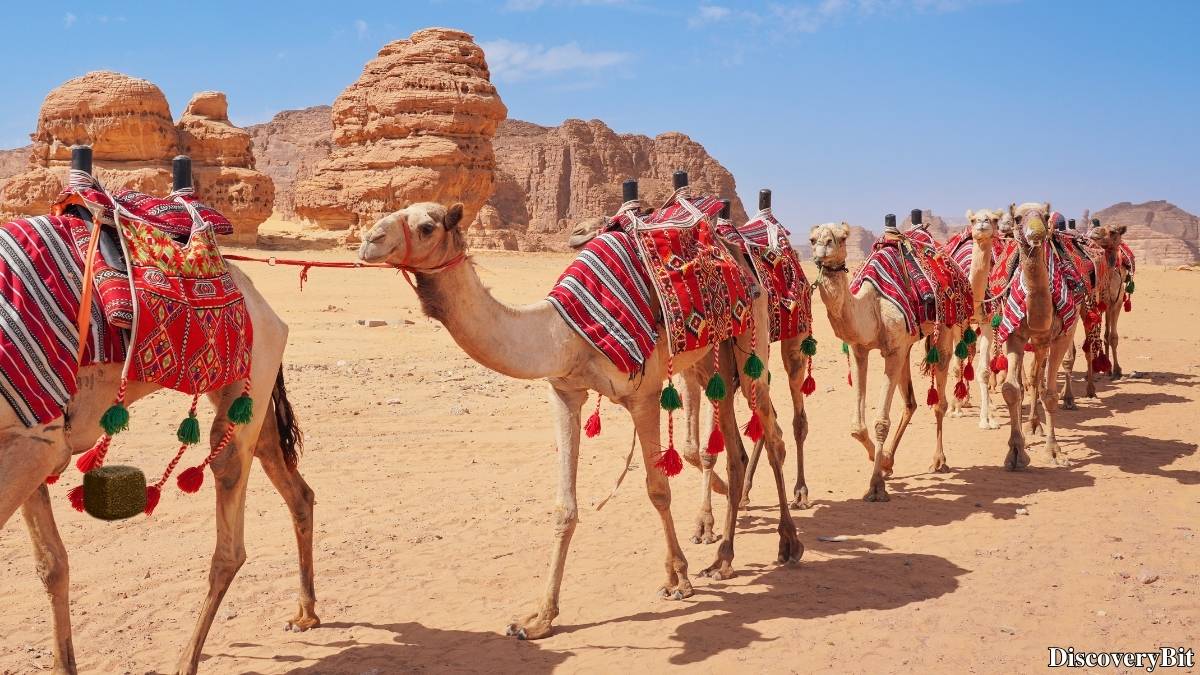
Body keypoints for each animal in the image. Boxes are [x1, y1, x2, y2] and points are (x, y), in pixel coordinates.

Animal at [0, 260, 316, 674]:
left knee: (230, 534)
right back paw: (306, 614)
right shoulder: (30, 442)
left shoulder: (36, 441)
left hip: (253, 367)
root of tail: (262, 301)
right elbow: (51, 565)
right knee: (293, 485)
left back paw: (186, 661)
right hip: (249, 393)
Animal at [358, 200, 805, 640]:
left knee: (773, 432)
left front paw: (678, 579)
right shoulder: (564, 393)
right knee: (734, 448)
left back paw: (788, 542)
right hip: (714, 358)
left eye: (427, 227)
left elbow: (657, 490)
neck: (566, 334)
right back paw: (723, 557)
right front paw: (538, 618)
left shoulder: (643, 396)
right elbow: (565, 508)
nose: (369, 240)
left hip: (752, 337)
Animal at [808, 222, 962, 502]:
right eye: (813, 239)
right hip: (907, 344)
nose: (824, 247)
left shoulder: (892, 351)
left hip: (944, 325)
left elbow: (881, 422)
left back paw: (939, 460)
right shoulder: (860, 349)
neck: (870, 305)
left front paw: (876, 486)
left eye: (841, 237)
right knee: (910, 402)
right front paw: (884, 464)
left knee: (940, 400)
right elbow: (857, 427)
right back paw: (890, 459)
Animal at [997, 202, 1075, 470]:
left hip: (1044, 341)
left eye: (1045, 215)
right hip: (1036, 341)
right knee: (1031, 377)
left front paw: (1054, 451)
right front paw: (1016, 452)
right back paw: (1029, 425)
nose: (1038, 232)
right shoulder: (1014, 334)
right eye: (1018, 218)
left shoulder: (1063, 336)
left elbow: (1050, 395)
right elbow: (1011, 389)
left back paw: (1035, 424)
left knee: (1037, 377)